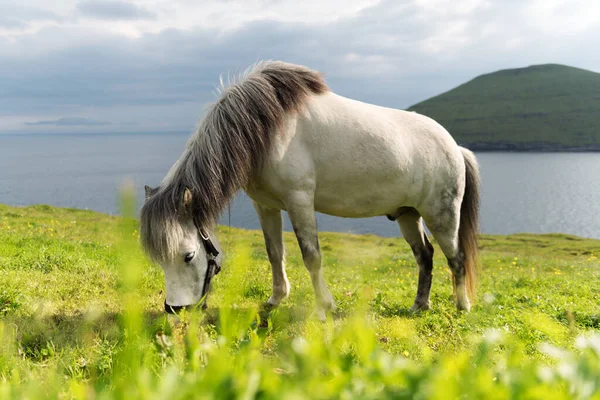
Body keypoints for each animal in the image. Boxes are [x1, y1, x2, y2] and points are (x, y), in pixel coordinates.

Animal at [138, 61, 480, 318]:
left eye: (188, 256)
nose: (174, 309)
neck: (267, 128)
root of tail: (455, 147)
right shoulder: (266, 205)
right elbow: (275, 252)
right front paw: (277, 298)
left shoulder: (299, 201)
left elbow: (311, 256)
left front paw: (322, 308)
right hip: (408, 215)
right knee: (425, 256)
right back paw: (419, 306)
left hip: (441, 215)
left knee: (456, 257)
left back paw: (463, 306)